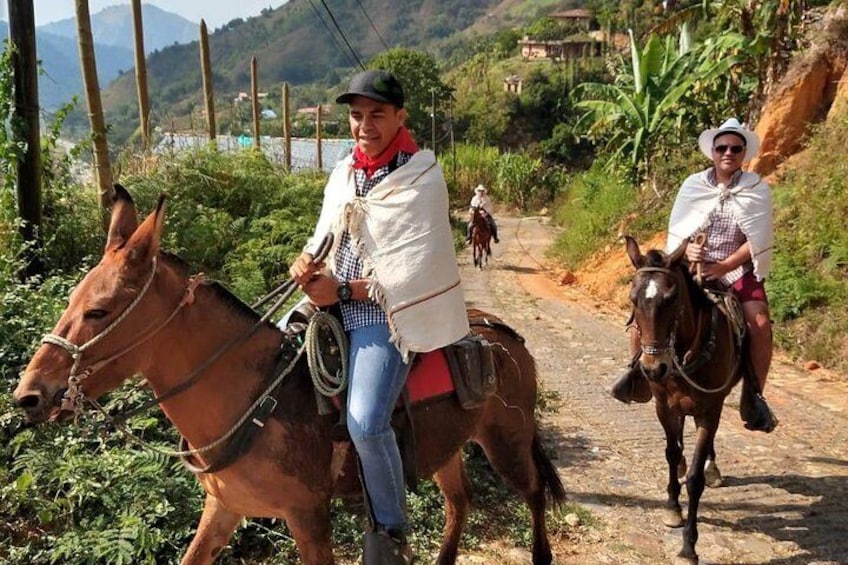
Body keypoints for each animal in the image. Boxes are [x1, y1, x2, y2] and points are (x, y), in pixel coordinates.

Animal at [13, 186, 568, 564]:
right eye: (72, 300)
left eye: (99, 311)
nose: (29, 396)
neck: (253, 403)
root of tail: (503, 334)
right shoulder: (223, 508)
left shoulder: (309, 517)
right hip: (445, 448)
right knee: (460, 502)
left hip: (506, 439)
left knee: (534, 492)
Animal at [624, 236, 744, 564]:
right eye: (633, 299)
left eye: (672, 298)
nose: (653, 369)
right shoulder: (664, 407)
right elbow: (671, 452)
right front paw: (672, 508)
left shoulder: (709, 411)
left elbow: (695, 479)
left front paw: (689, 546)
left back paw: (712, 468)